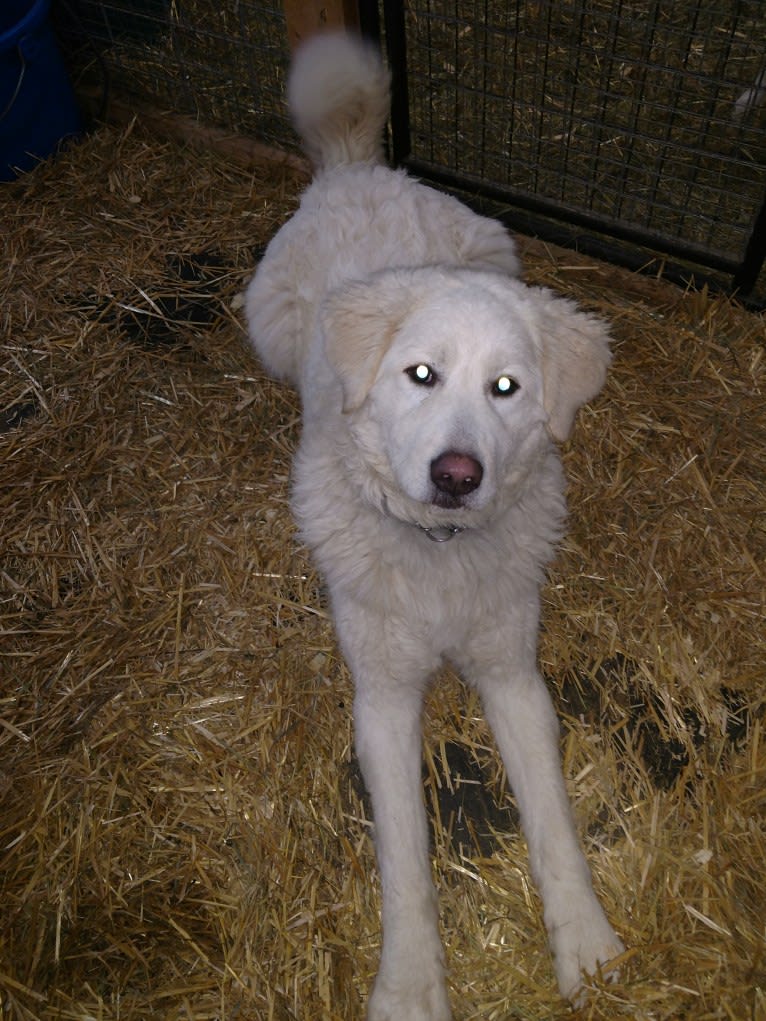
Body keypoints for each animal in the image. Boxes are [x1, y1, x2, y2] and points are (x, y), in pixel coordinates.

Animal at [246, 31, 625, 1021]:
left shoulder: (516, 675)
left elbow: (554, 822)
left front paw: (589, 945)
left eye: (507, 388)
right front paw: (410, 984)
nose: (459, 475)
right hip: (266, 325)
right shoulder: (380, 698)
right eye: (421, 374)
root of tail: (358, 167)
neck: (440, 550)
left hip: (502, 246)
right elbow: (405, 860)